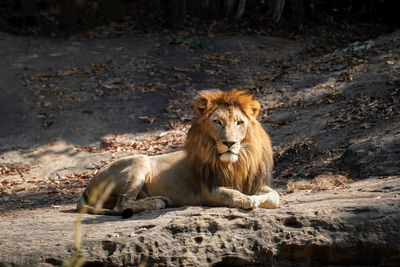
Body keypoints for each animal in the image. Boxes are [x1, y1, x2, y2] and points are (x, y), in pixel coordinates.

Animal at [77, 90, 278, 218]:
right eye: (217, 122)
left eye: (239, 122)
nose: (229, 143)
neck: (236, 162)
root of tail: (87, 186)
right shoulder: (209, 190)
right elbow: (233, 194)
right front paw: (248, 199)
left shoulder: (253, 182)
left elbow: (275, 196)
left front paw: (257, 198)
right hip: (140, 160)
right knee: (122, 203)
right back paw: (157, 203)